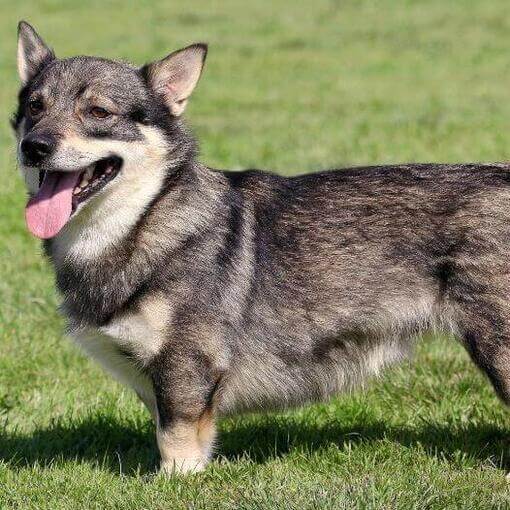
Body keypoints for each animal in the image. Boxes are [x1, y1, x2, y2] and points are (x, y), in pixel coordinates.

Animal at [12, 19, 510, 474]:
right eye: (35, 107)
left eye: (98, 112)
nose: (33, 146)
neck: (146, 218)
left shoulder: (186, 368)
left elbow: (175, 444)